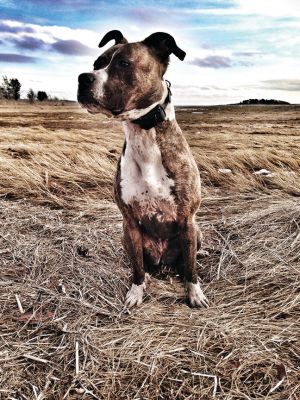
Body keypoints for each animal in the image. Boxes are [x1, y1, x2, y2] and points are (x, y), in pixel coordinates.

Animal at [77, 29, 209, 308]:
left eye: (124, 63)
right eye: (97, 63)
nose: (83, 77)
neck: (143, 133)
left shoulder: (187, 219)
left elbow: (191, 265)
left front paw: (194, 292)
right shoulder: (129, 222)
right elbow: (137, 266)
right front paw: (136, 291)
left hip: (196, 231)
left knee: (186, 259)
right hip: (125, 236)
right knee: (143, 262)